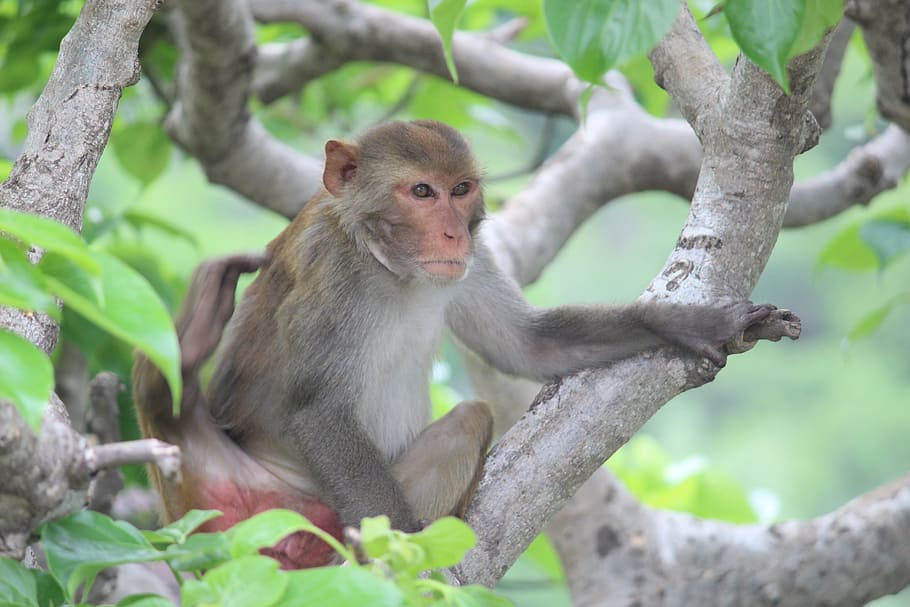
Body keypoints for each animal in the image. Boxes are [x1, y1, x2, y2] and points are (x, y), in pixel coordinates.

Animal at [133, 120, 773, 570]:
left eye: (460, 190)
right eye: (421, 191)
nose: (451, 233)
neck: (389, 267)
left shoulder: (473, 260)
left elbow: (527, 346)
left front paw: (692, 325)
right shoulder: (330, 270)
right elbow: (319, 409)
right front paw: (408, 563)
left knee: (469, 420)